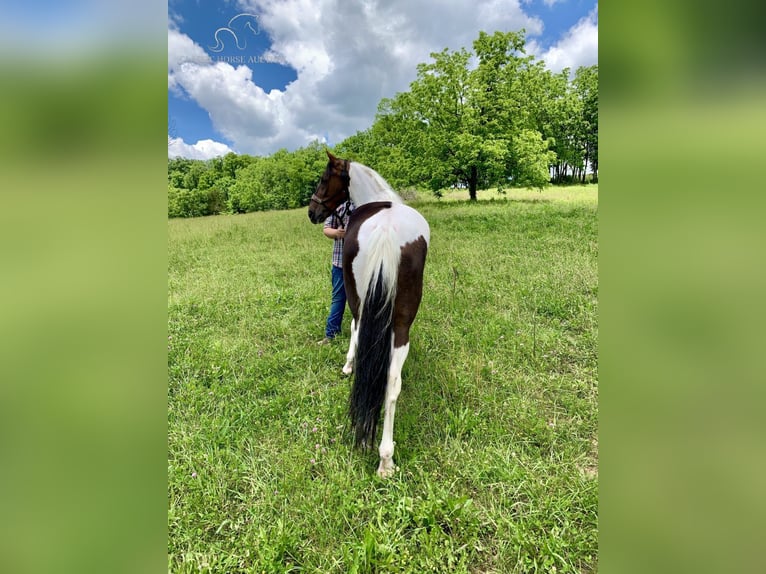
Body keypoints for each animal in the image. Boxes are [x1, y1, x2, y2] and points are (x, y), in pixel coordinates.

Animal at [312, 151, 432, 480]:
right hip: (402, 323)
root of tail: (387, 231)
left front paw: (347, 365)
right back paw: (386, 459)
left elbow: (354, 331)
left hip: (361, 300)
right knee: (391, 383)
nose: (312, 212)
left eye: (324, 178)